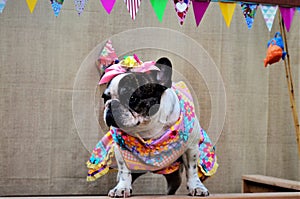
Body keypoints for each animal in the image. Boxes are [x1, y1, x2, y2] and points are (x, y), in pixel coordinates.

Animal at [86, 54, 218, 197]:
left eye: (132, 98)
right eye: (105, 98)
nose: (111, 105)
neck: (148, 128)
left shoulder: (191, 148)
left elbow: (192, 170)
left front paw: (197, 187)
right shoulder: (121, 151)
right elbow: (124, 171)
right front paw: (121, 188)